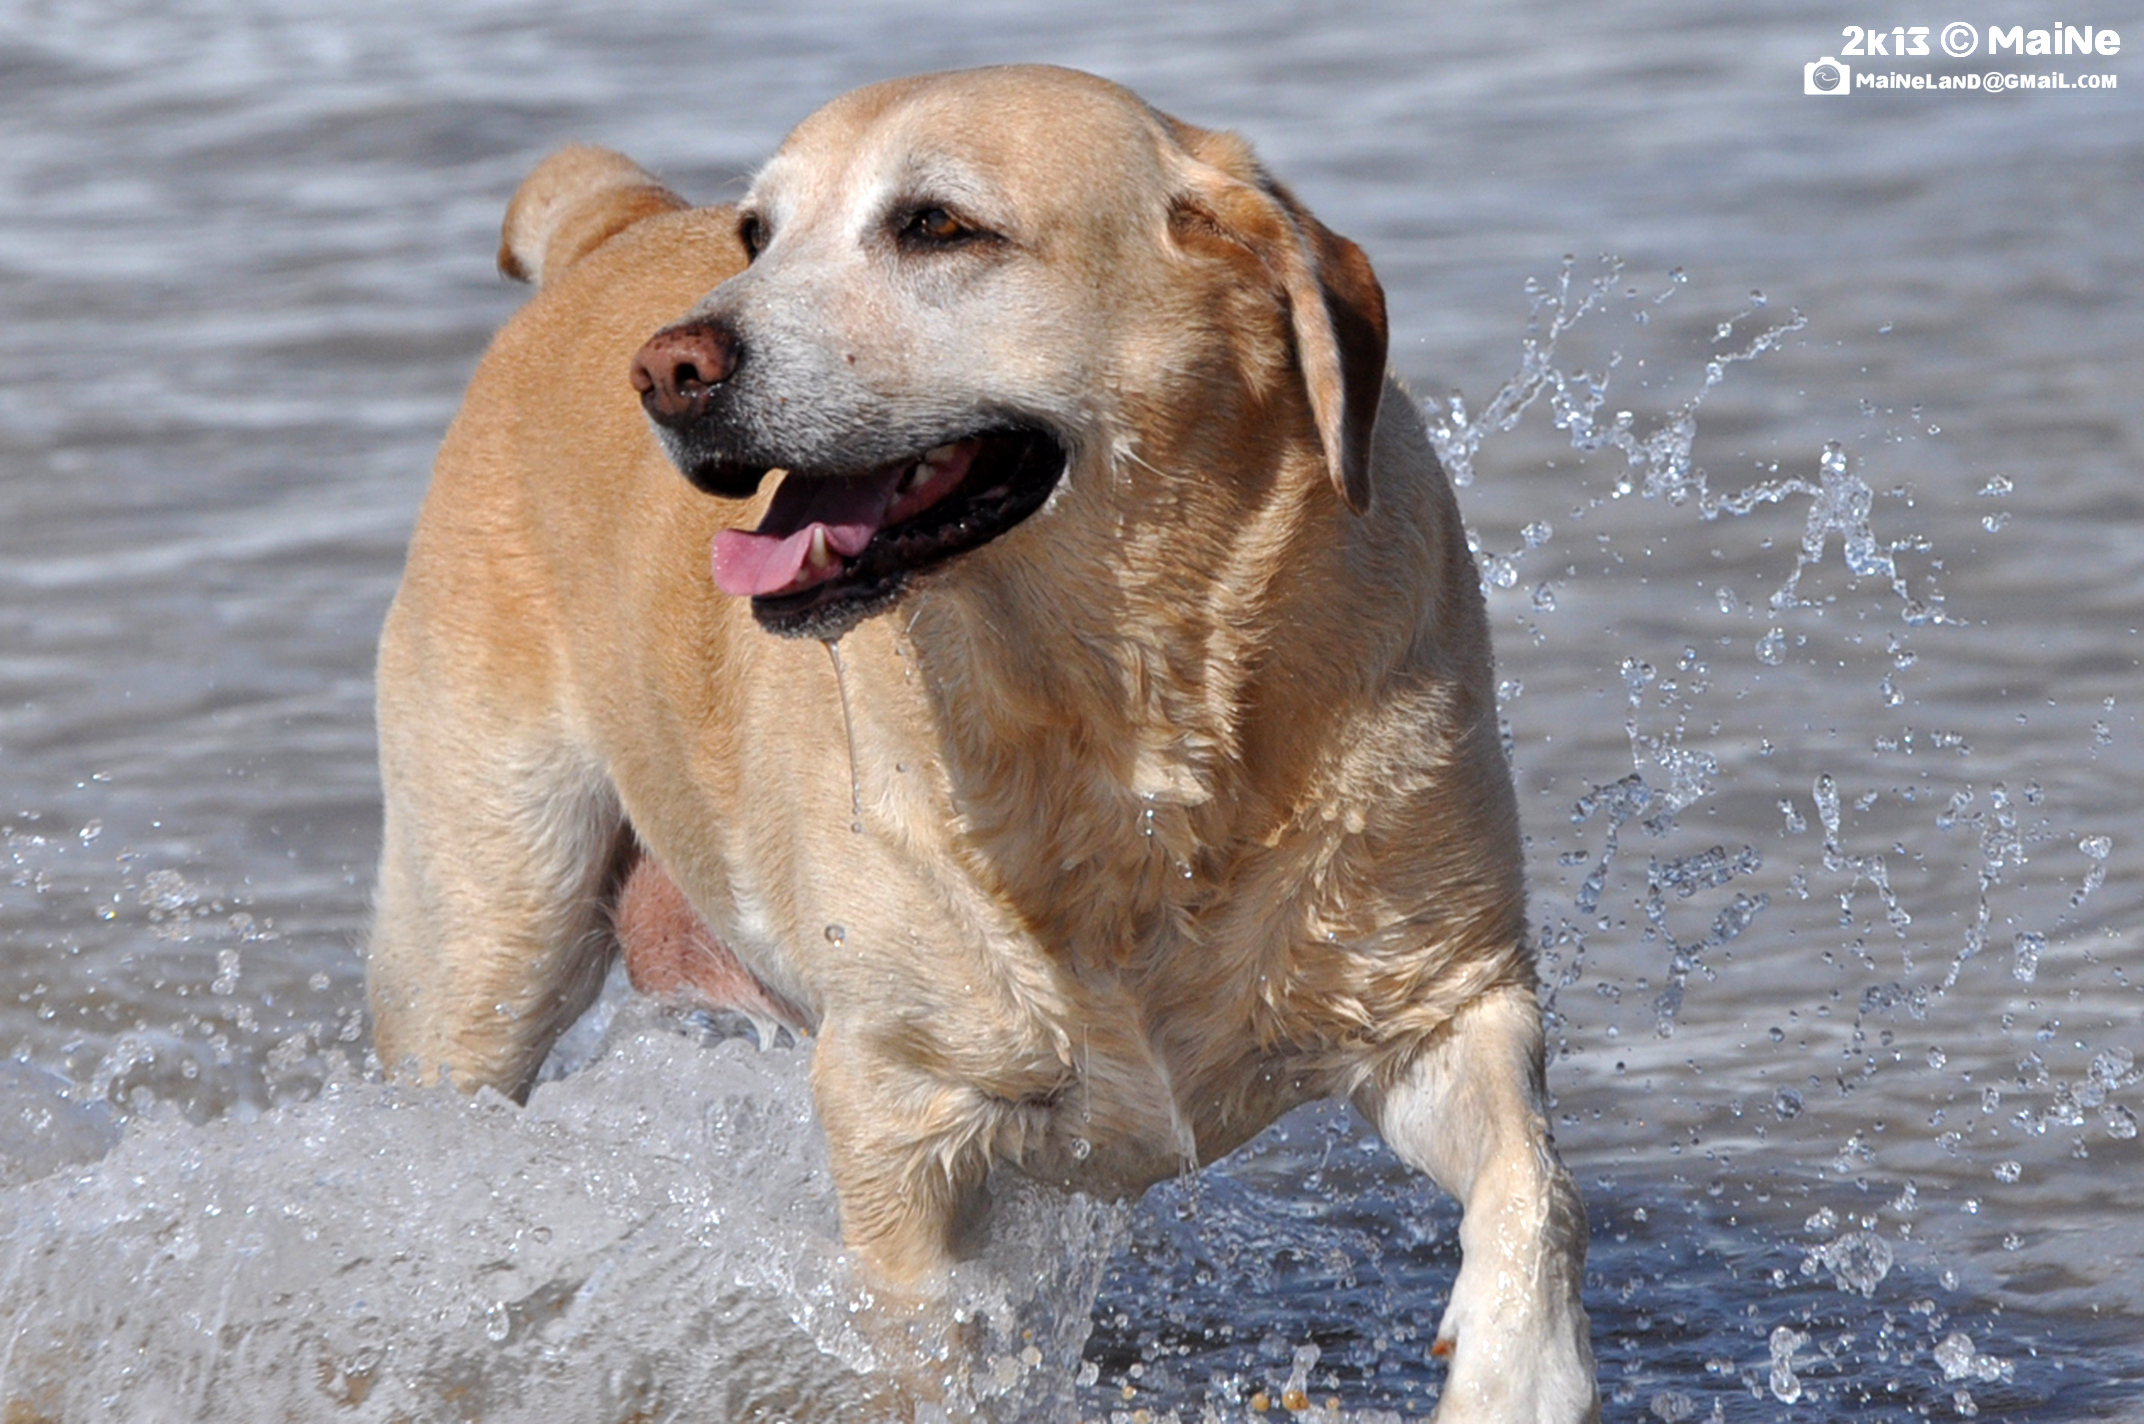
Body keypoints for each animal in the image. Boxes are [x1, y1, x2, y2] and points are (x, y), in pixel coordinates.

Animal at [369, 65, 1597, 1422]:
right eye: (758, 234)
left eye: (936, 226)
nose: (667, 366)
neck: (1119, 716)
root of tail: (614, 228)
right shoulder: (895, 1105)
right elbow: (927, 1336)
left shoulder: (1443, 990)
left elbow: (1533, 1188)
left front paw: (1517, 1372)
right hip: (487, 936)